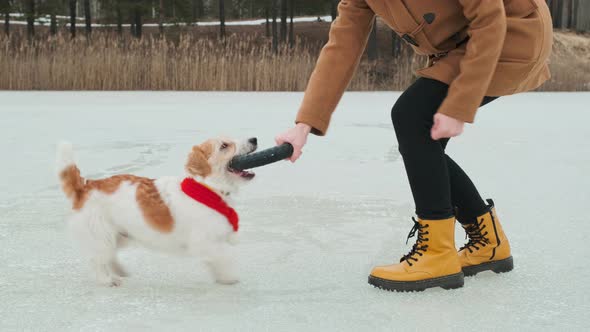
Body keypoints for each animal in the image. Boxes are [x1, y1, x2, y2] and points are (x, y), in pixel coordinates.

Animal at [56, 136, 258, 286]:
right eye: (224, 146)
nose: (254, 139)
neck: (207, 188)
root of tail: (84, 187)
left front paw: (222, 277)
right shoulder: (204, 242)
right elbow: (224, 256)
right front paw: (229, 277)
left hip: (120, 235)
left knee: (109, 256)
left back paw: (120, 271)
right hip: (101, 235)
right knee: (96, 260)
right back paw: (107, 280)